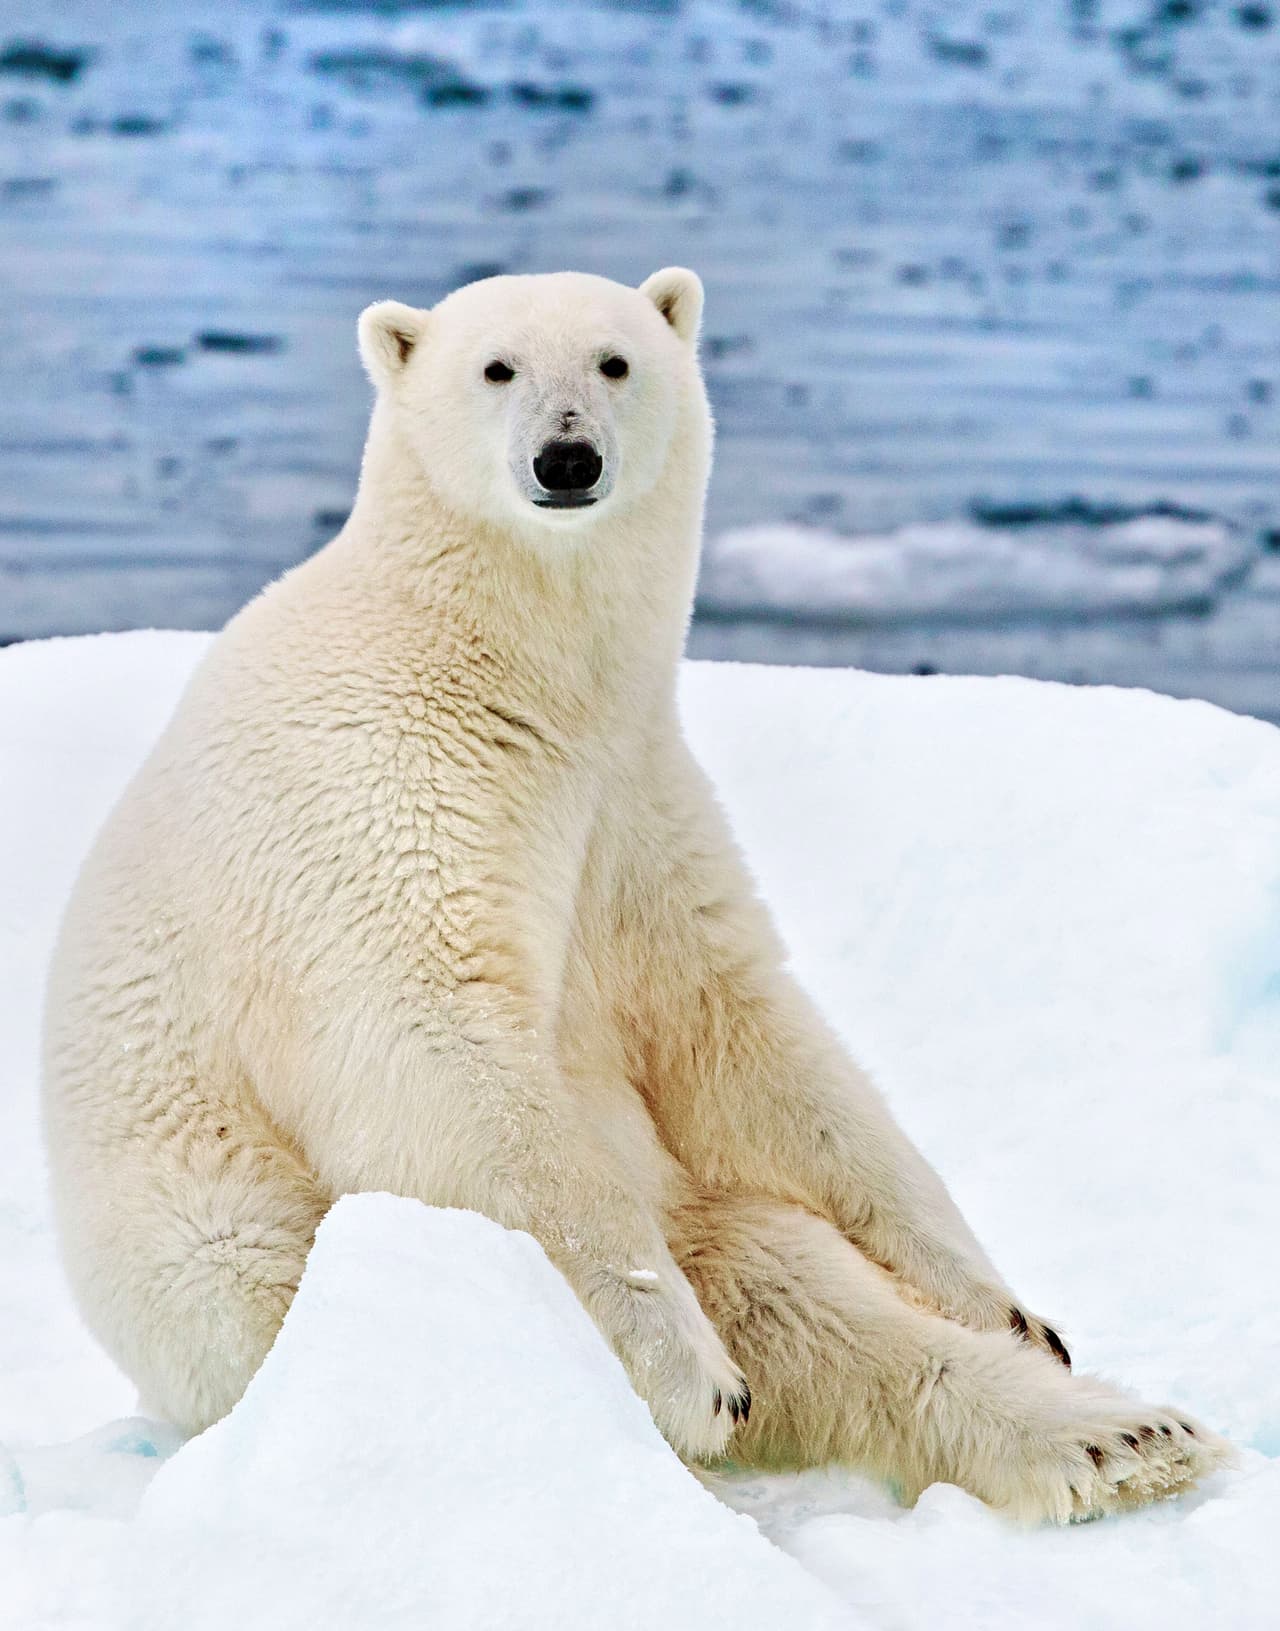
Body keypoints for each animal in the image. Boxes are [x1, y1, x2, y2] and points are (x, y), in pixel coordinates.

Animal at [43, 268, 1227, 1522]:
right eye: (497, 367)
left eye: (613, 361)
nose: (566, 458)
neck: (503, 673)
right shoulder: (376, 798)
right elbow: (442, 1061)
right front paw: (692, 1376)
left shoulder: (632, 802)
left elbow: (744, 1035)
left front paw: (1010, 1306)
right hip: (222, 1244)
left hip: (683, 1202)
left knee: (802, 1296)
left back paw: (1123, 1433)